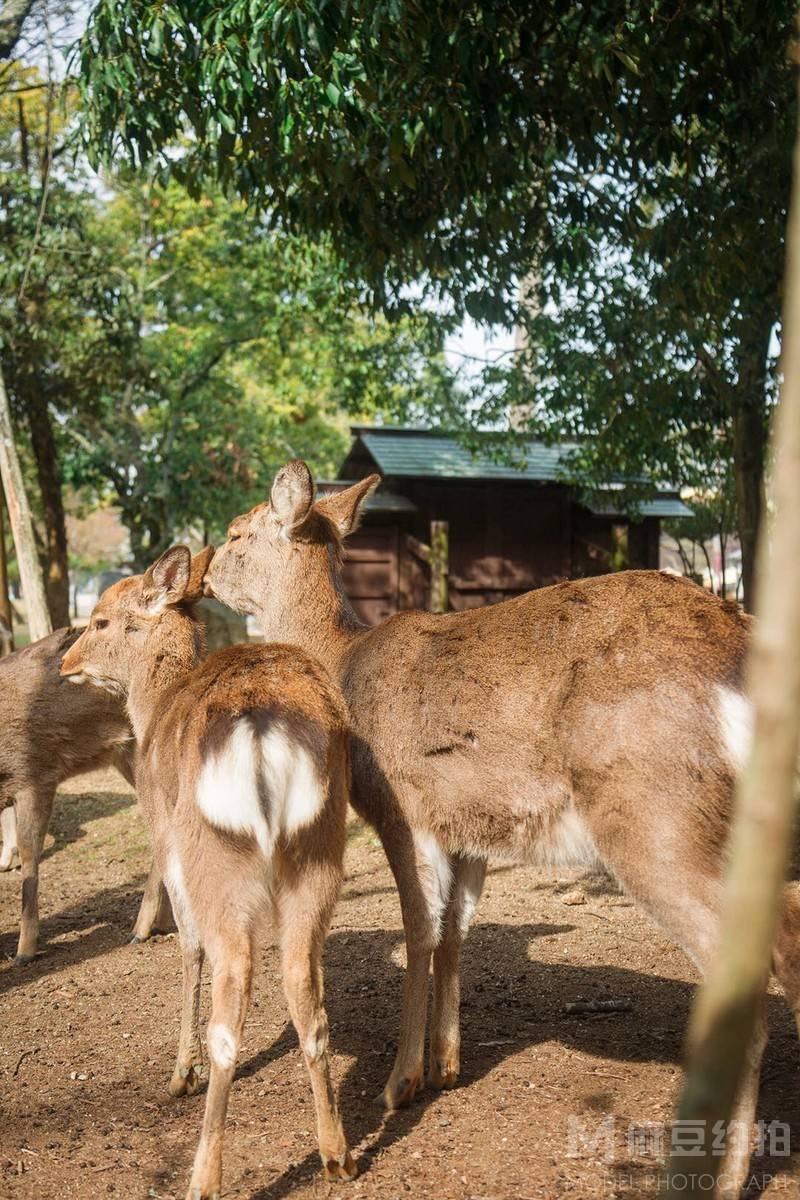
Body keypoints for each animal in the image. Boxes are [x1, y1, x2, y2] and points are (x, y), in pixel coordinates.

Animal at [64, 547, 357, 1200]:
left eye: (98, 620)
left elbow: (186, 946)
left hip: (215, 858)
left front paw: (180, 1072)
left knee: (230, 993)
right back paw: (336, 1155)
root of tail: (260, 725)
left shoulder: (166, 838)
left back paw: (203, 1174)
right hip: (320, 850)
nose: (65, 663)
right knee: (306, 991)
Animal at [206, 460, 800, 1200]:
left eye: (236, 531)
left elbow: (419, 930)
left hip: (656, 814)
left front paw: (400, 1081)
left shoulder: (403, 807)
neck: (341, 663)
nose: (201, 567)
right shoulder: (469, 827)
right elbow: (456, 929)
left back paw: (723, 1176)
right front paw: (447, 1063)